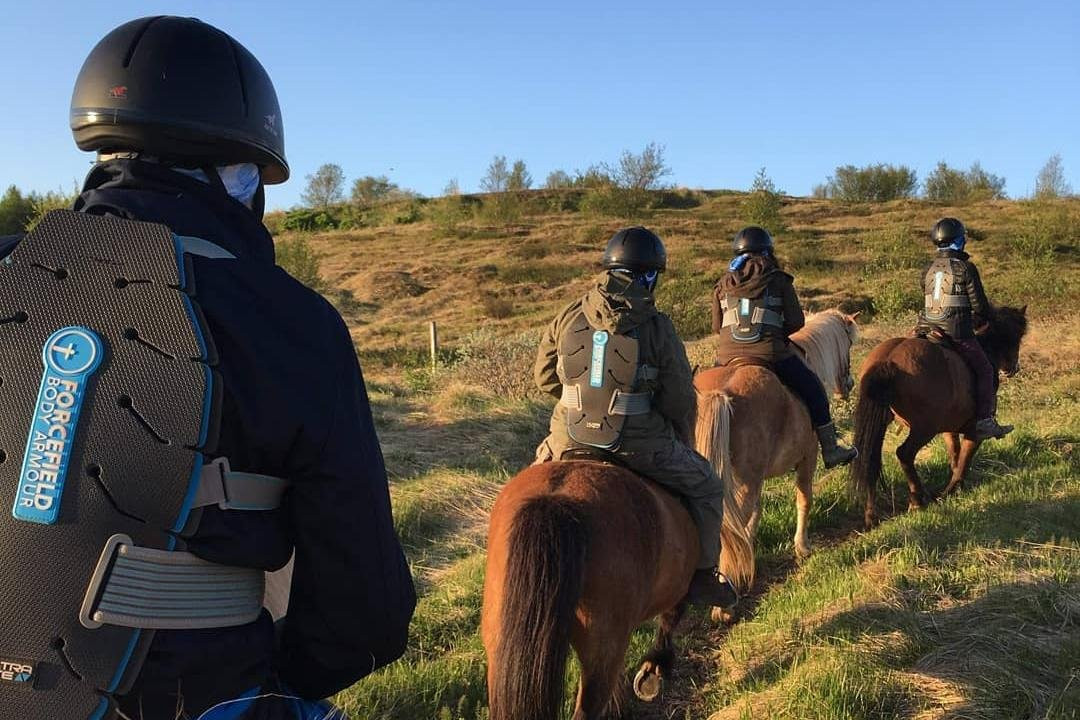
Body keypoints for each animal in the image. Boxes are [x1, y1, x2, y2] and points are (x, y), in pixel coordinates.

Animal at [481, 462, 751, 720]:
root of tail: (557, 499)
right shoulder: (678, 590)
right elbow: (669, 620)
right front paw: (656, 666)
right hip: (601, 651)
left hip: (502, 651)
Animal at [691, 308, 859, 591]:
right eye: (848, 342)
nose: (849, 384)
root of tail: (718, 395)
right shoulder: (808, 456)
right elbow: (804, 498)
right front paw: (802, 547)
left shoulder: (757, 479)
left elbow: (755, 515)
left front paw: (750, 550)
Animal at [851, 306, 1028, 528]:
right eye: (1018, 335)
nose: (1013, 368)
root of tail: (888, 360)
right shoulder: (974, 431)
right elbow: (965, 458)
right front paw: (952, 490)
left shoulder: (949, 429)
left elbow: (955, 454)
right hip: (924, 428)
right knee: (904, 454)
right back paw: (917, 500)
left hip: (882, 424)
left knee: (871, 460)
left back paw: (871, 515)